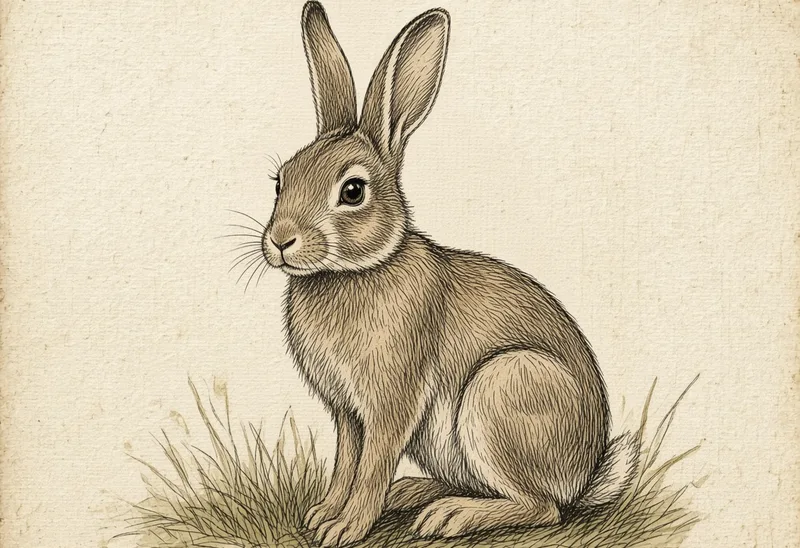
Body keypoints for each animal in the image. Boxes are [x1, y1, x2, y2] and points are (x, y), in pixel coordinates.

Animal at [256, 2, 639, 546]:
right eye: (280, 180)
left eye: (352, 191)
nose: (281, 241)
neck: (360, 268)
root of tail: (584, 475)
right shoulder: (347, 413)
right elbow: (346, 462)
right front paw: (323, 515)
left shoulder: (393, 400)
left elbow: (371, 467)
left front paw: (346, 527)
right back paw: (414, 494)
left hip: (500, 392)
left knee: (543, 508)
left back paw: (450, 516)